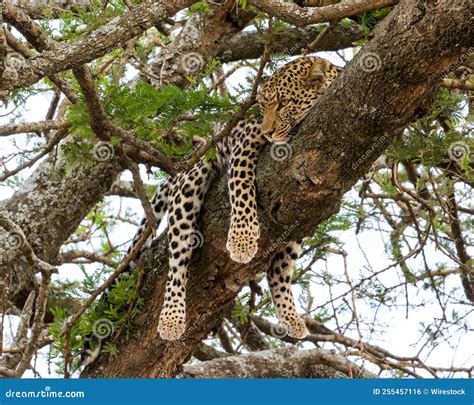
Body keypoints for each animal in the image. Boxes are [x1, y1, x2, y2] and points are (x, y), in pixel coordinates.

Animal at [82, 54, 340, 366]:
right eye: (262, 106)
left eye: (283, 103)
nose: (267, 131)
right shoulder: (243, 144)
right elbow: (241, 189)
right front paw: (242, 240)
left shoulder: (308, 204)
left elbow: (279, 267)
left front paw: (288, 312)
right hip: (192, 181)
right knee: (177, 259)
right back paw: (171, 318)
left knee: (279, 266)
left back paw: (291, 318)